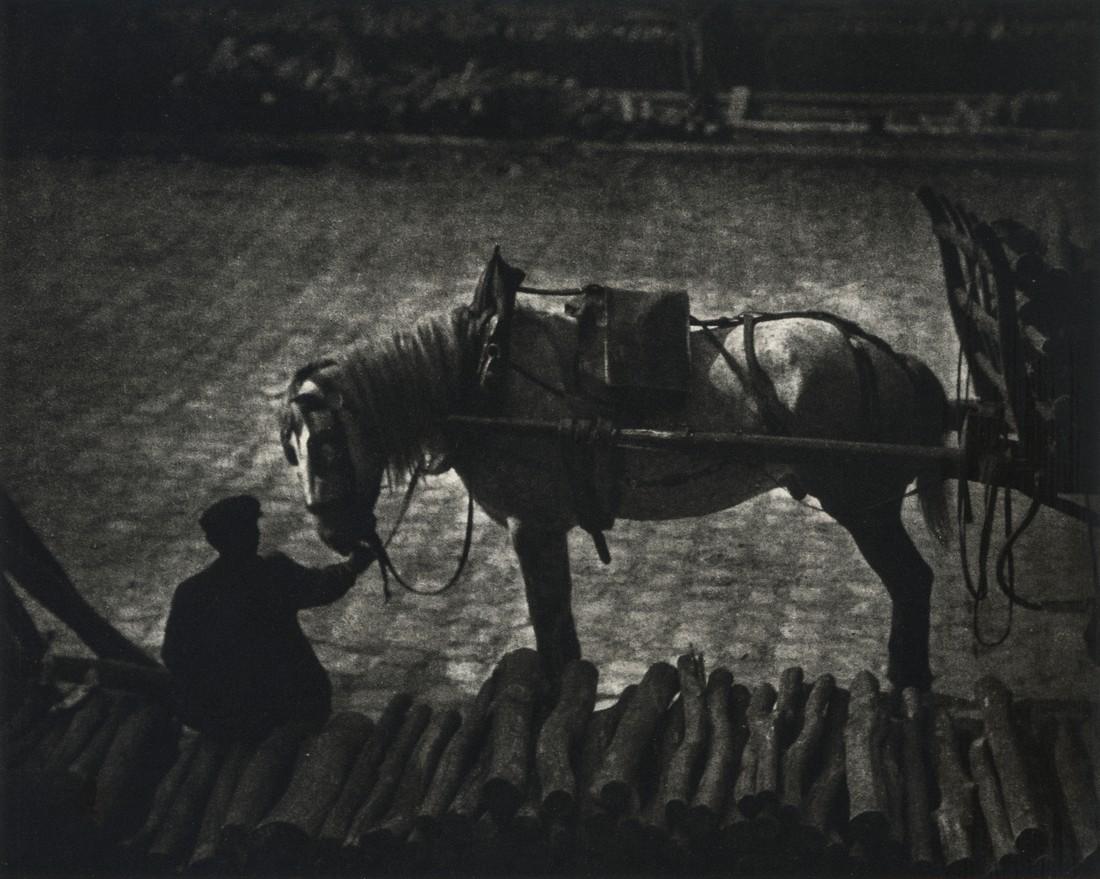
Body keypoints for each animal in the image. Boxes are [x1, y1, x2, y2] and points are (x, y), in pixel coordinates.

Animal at [279, 296, 951, 691]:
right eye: (292, 447)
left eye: (329, 444)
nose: (334, 534)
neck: (483, 377)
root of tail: (879, 352)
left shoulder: (533, 526)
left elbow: (552, 624)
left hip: (865, 507)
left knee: (913, 581)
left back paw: (907, 681)